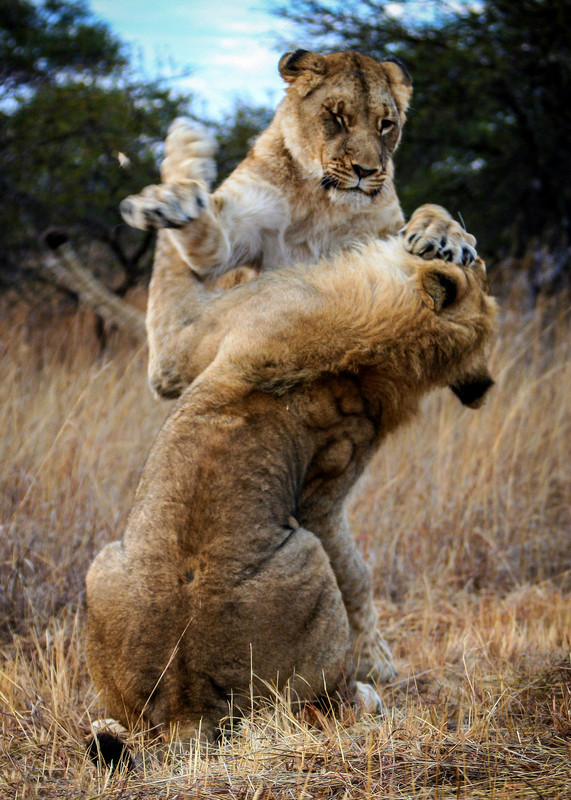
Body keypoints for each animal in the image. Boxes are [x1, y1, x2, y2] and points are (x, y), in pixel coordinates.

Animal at [84, 233, 496, 744]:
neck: (387, 333)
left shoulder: (183, 346)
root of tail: (189, 709)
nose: (485, 386)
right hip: (106, 566)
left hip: (298, 552)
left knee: (324, 703)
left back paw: (367, 695)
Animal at [119, 50, 478, 400]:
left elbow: (433, 209)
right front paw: (169, 200)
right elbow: (202, 228)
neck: (322, 201)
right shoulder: (226, 243)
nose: (365, 170)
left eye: (386, 124)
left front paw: (445, 236)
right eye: (337, 117)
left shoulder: (381, 243)